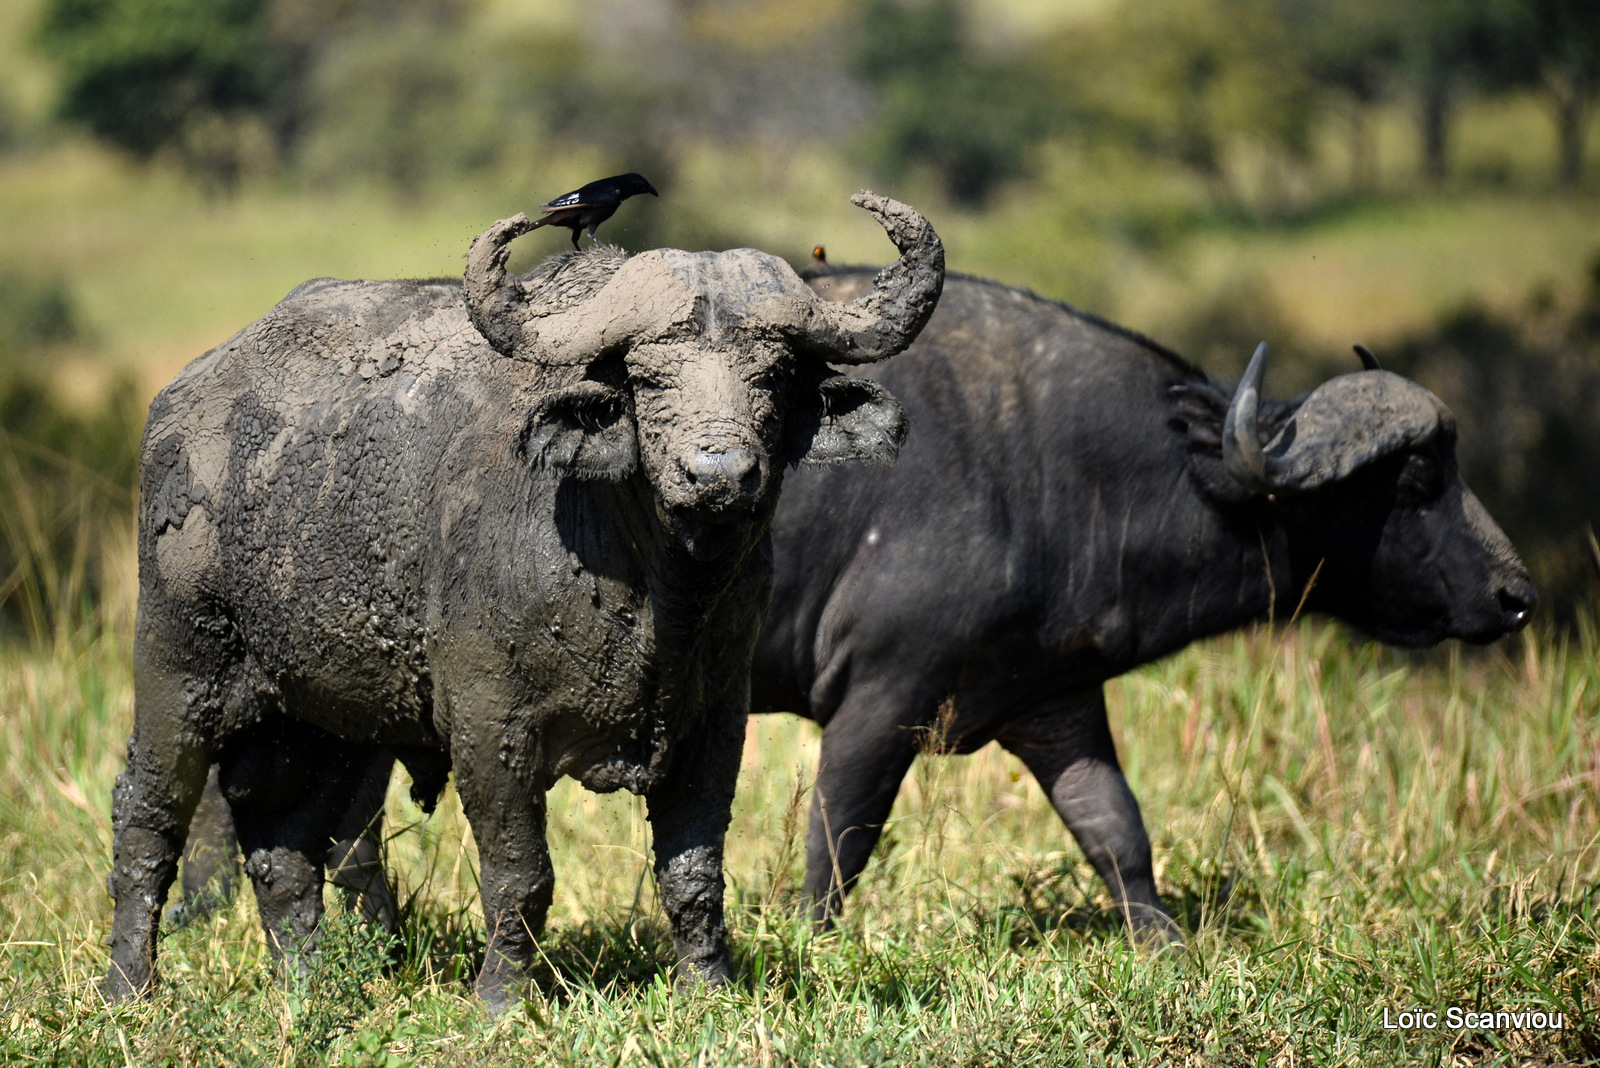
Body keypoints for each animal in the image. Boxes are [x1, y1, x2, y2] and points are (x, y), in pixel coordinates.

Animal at [100, 194, 940, 1010]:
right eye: (650, 379)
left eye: (770, 376)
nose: (719, 474)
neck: (655, 590)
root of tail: (182, 404)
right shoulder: (489, 725)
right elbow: (521, 873)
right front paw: (501, 998)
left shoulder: (714, 720)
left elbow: (695, 874)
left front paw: (712, 991)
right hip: (180, 668)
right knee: (148, 816)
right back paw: (130, 988)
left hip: (329, 716)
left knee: (285, 844)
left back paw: (309, 989)